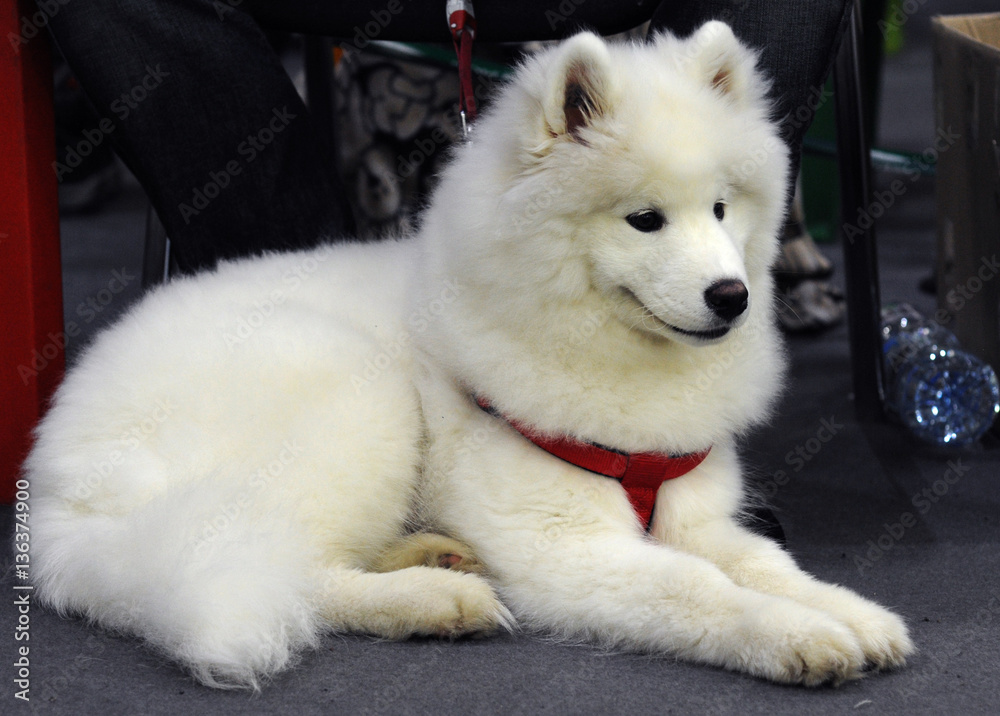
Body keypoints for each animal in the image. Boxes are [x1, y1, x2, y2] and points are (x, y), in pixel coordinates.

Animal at [23, 25, 916, 692]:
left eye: (724, 209)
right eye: (644, 219)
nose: (731, 297)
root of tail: (61, 497)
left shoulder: (696, 515)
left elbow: (764, 561)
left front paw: (849, 612)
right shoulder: (562, 548)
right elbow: (695, 588)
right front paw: (798, 636)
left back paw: (429, 552)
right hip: (355, 397)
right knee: (267, 566)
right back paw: (432, 596)